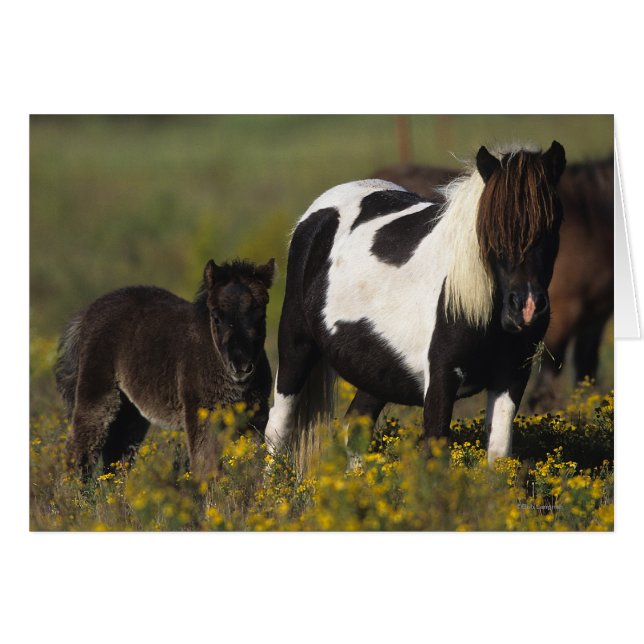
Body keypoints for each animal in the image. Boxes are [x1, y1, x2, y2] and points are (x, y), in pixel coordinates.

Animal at [55, 258, 275, 478]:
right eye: (217, 318)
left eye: (261, 316)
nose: (241, 366)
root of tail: (88, 313)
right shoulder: (200, 413)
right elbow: (205, 465)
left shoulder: (255, 416)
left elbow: (254, 461)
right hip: (97, 392)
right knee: (80, 445)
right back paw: (76, 487)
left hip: (130, 410)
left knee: (117, 454)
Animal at [264, 142, 566, 465]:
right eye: (490, 228)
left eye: (554, 224)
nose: (527, 308)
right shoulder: (441, 379)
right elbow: (435, 452)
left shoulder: (512, 376)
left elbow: (498, 455)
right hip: (296, 347)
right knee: (277, 430)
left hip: (377, 371)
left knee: (354, 426)